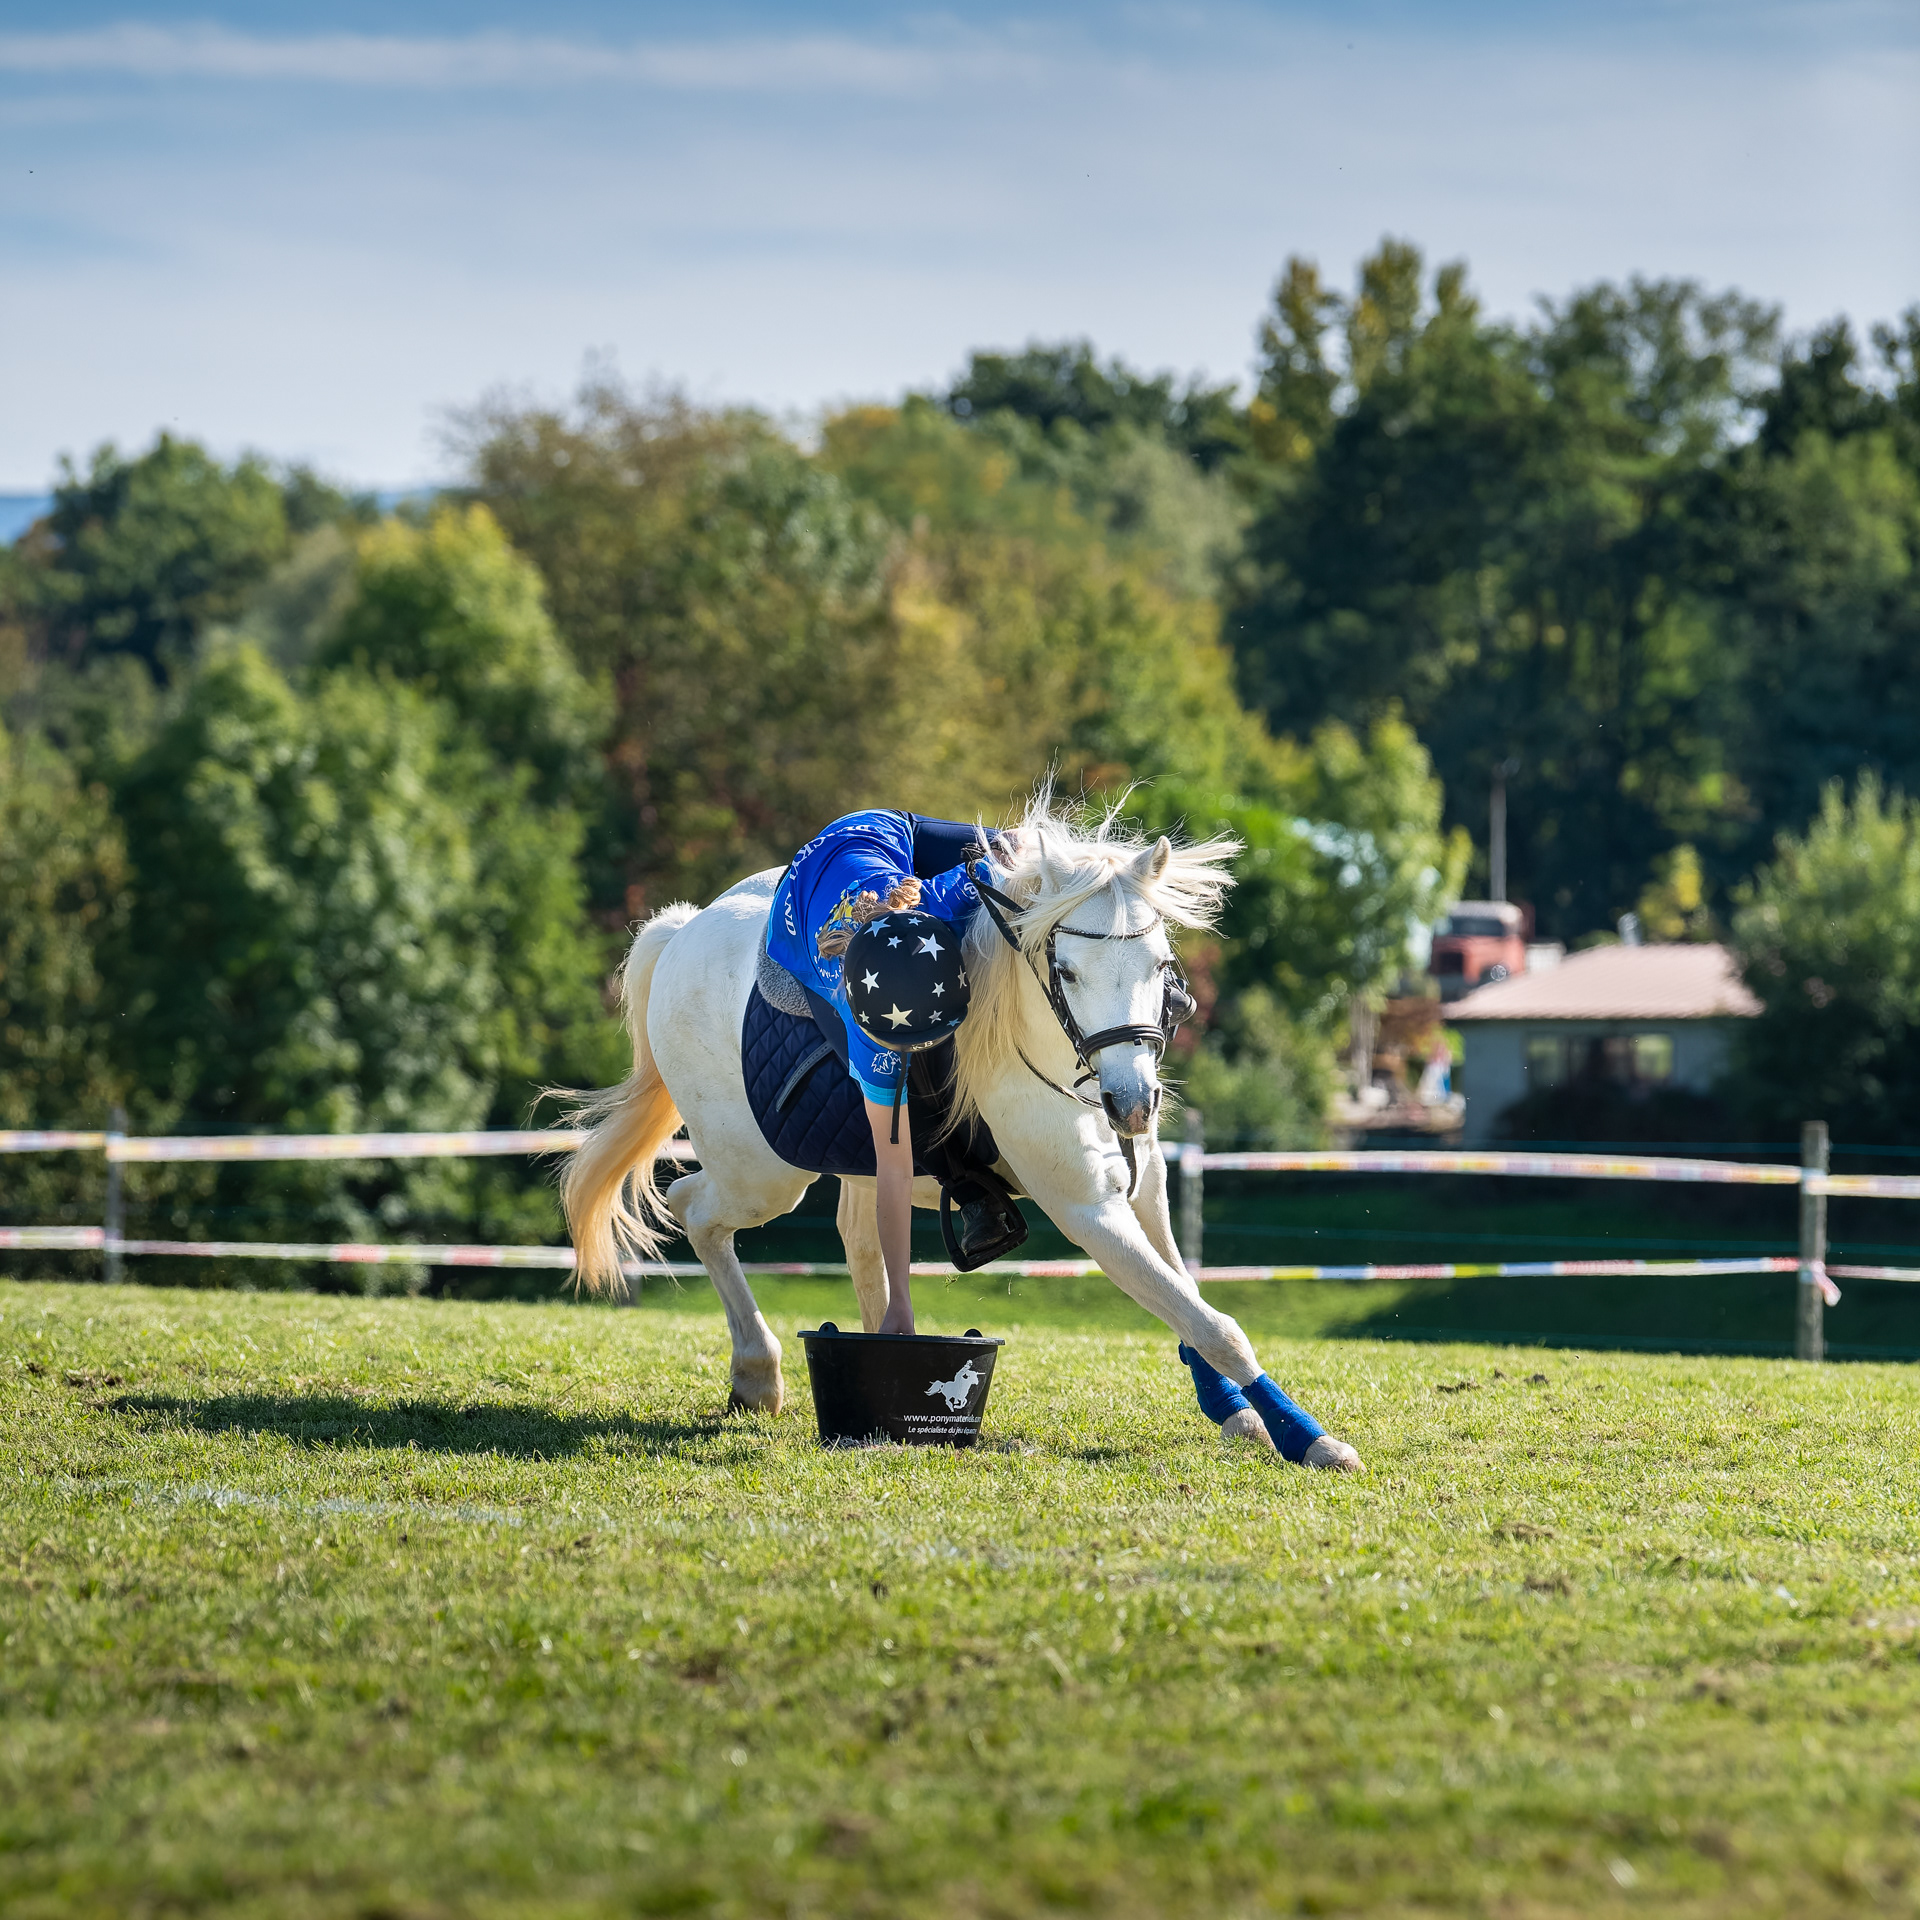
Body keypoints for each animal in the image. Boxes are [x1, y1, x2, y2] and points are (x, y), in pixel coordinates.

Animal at [560, 794, 1362, 1469]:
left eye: (1161, 964)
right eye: (1068, 972)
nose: (1132, 1104)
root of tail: (684, 928)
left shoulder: (1143, 1185)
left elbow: (1185, 1299)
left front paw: (1237, 1412)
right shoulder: (1088, 1209)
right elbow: (1212, 1322)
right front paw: (1310, 1440)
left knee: (857, 1239)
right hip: (762, 1176)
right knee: (695, 1209)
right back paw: (757, 1373)